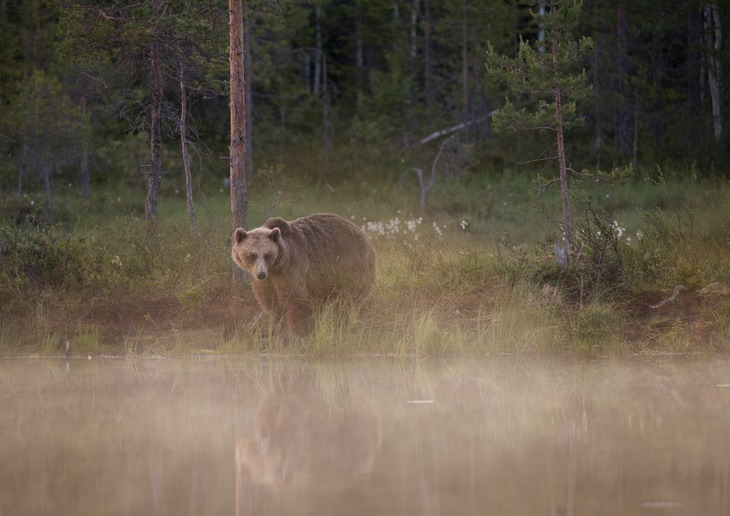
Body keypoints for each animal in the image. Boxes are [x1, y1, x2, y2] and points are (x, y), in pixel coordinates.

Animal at [230, 213, 376, 336]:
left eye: (267, 255)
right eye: (252, 255)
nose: (261, 273)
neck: (275, 267)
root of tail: (362, 233)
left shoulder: (292, 266)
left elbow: (296, 299)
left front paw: (298, 331)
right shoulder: (268, 280)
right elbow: (271, 301)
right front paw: (281, 324)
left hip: (349, 265)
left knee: (348, 299)